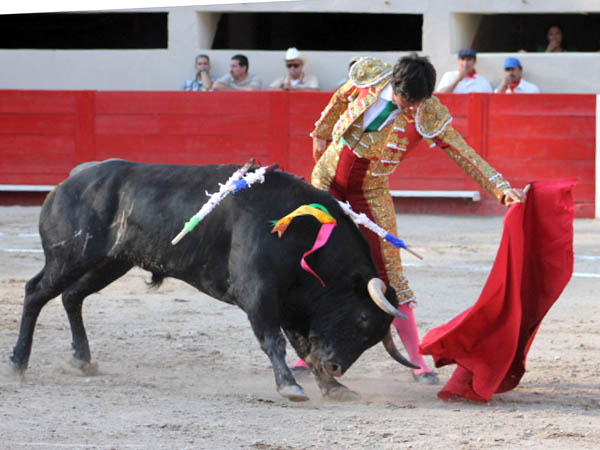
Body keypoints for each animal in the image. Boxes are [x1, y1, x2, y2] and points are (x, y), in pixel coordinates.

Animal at [9, 160, 416, 402]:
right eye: (362, 320)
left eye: (373, 336)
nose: (335, 367)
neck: (305, 234)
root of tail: (70, 179)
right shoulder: (258, 293)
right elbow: (274, 342)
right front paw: (290, 386)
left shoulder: (294, 304)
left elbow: (303, 346)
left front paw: (333, 387)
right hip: (71, 257)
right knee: (35, 293)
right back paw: (18, 365)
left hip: (109, 263)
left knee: (72, 297)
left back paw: (83, 361)